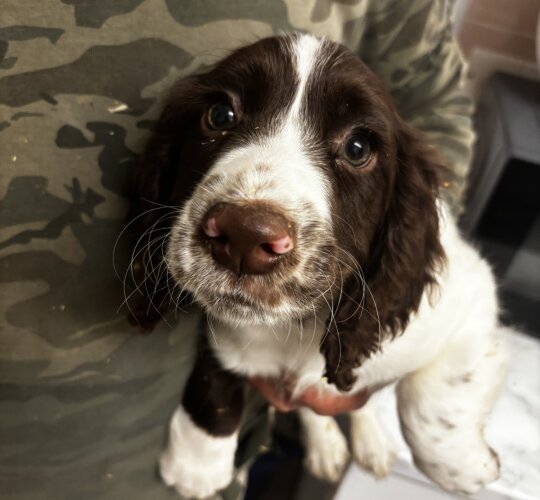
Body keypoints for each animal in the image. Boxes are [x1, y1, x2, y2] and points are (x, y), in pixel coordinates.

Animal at [130, 34, 506, 500]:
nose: (245, 235)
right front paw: (198, 459)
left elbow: (432, 399)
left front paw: (467, 466)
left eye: (358, 148)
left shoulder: (470, 300)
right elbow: (219, 364)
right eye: (220, 115)